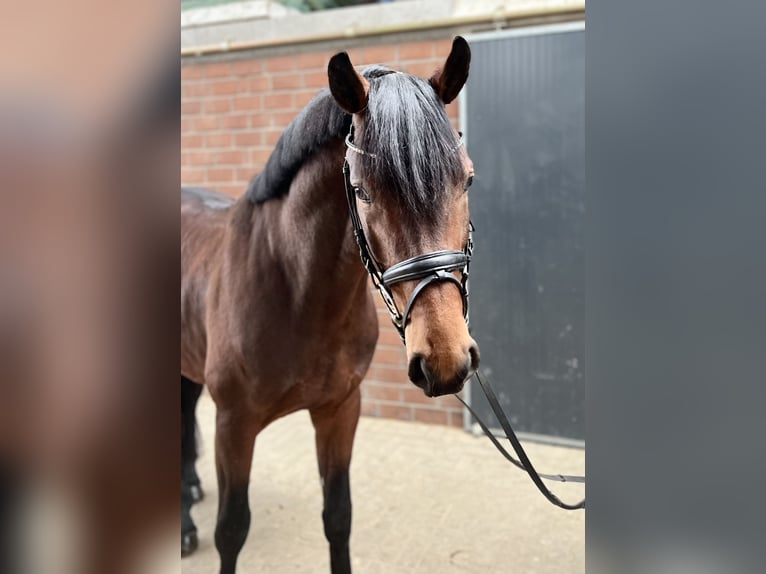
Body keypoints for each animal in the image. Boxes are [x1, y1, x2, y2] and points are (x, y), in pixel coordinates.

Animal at [182, 38, 476, 572]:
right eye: (361, 190)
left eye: (467, 179)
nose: (445, 359)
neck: (298, 294)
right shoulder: (233, 424)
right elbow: (231, 531)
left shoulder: (340, 409)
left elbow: (338, 516)